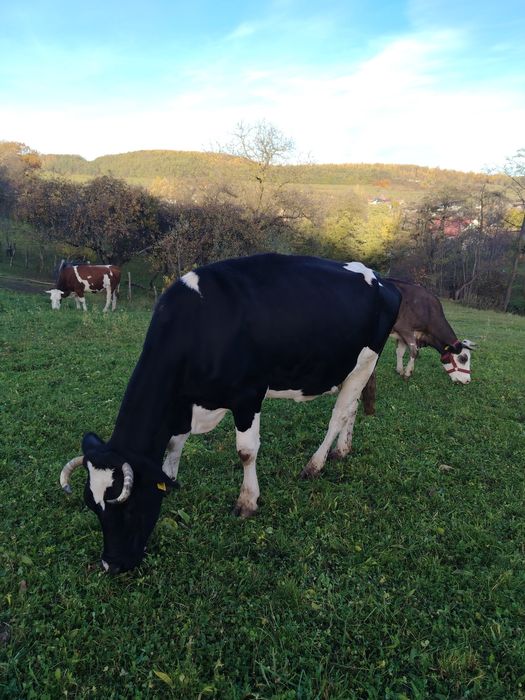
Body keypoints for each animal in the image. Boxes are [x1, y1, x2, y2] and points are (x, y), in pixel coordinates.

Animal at [59, 254, 401, 574]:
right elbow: (173, 446)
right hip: (349, 368)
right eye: (94, 508)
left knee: (338, 414)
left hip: (366, 360)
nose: (111, 565)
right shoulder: (182, 405)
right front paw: (171, 480)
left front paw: (247, 502)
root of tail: (379, 278)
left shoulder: (247, 395)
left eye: (129, 508)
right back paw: (343, 450)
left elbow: (246, 452)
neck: (201, 325)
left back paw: (314, 465)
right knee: (351, 408)